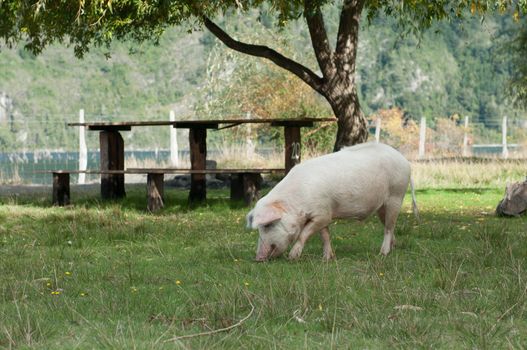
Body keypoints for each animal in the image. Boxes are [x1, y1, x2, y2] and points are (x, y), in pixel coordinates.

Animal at [245, 142, 418, 260]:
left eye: (267, 225)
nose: (258, 258)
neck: (297, 201)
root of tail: (406, 162)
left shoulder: (322, 213)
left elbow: (304, 233)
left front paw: (292, 257)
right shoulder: (324, 213)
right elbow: (325, 235)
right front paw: (327, 258)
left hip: (396, 195)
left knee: (389, 227)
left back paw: (383, 253)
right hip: (382, 206)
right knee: (390, 225)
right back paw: (393, 248)